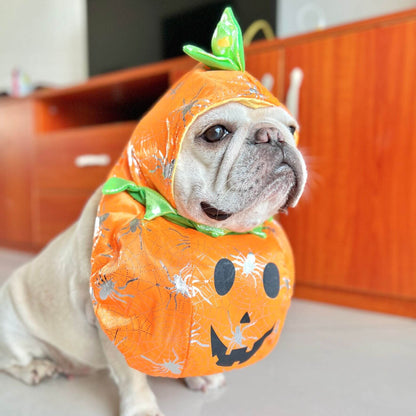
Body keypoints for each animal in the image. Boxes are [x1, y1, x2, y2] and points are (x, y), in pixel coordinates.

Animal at [0, 79, 306, 416]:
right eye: (215, 133)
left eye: (292, 128)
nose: (274, 135)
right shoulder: (118, 320)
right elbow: (130, 375)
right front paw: (141, 408)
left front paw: (201, 377)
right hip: (9, 326)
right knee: (11, 361)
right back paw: (35, 368)